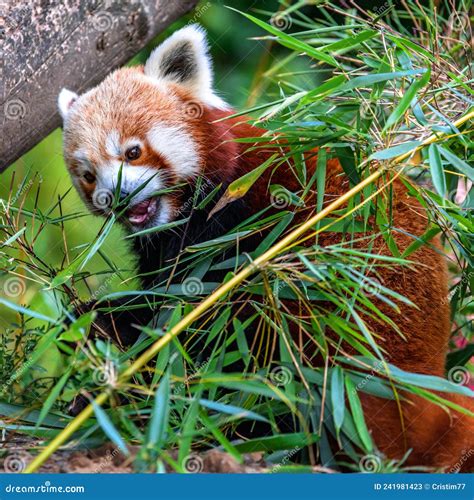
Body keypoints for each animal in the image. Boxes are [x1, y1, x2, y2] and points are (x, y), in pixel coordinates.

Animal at [57, 24, 472, 472]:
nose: (114, 197)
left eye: (132, 151)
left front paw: (115, 328)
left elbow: (188, 311)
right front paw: (93, 324)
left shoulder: (235, 222)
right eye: (88, 175)